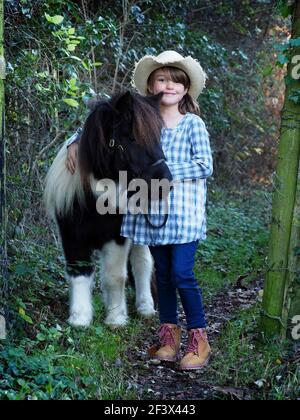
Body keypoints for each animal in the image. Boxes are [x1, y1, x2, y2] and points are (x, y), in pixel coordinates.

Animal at [43, 91, 172, 328]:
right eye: (132, 137)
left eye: (158, 137)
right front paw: (80, 318)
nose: (165, 183)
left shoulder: (116, 237)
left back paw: (145, 307)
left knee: (142, 264)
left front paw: (116, 318)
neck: (91, 202)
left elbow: (115, 276)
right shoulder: (71, 237)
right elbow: (79, 272)